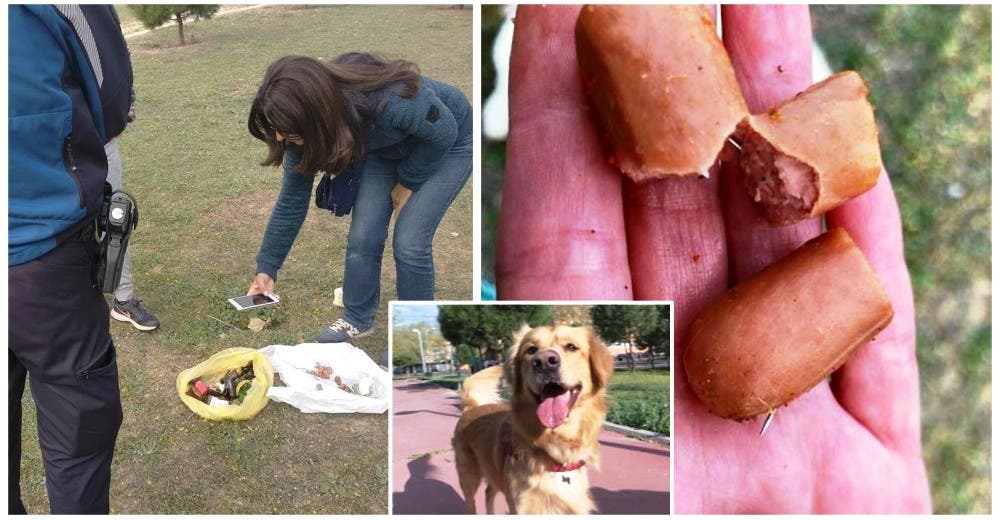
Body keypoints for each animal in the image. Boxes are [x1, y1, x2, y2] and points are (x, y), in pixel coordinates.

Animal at [452, 324, 608, 512]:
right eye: (531, 350)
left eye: (571, 347)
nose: (544, 362)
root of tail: (471, 406)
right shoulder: (522, 507)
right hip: (469, 477)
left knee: (489, 491)